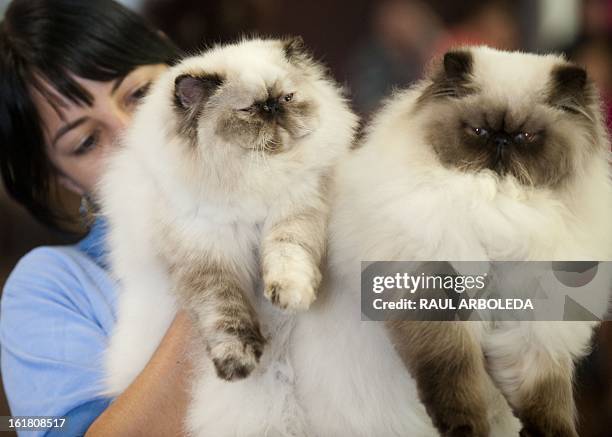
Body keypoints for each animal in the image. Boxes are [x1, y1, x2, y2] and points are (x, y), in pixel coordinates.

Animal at [98, 36, 356, 432]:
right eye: (248, 109)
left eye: (287, 97)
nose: (272, 109)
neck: (253, 177)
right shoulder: (208, 256)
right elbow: (225, 314)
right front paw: (237, 364)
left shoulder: (297, 208)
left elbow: (288, 257)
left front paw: (290, 295)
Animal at [330, 46, 612, 434]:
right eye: (478, 130)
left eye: (526, 137)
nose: (500, 139)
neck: (499, 206)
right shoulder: (434, 296)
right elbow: (455, 378)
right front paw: (466, 429)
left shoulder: (536, 324)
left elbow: (545, 395)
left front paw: (550, 432)